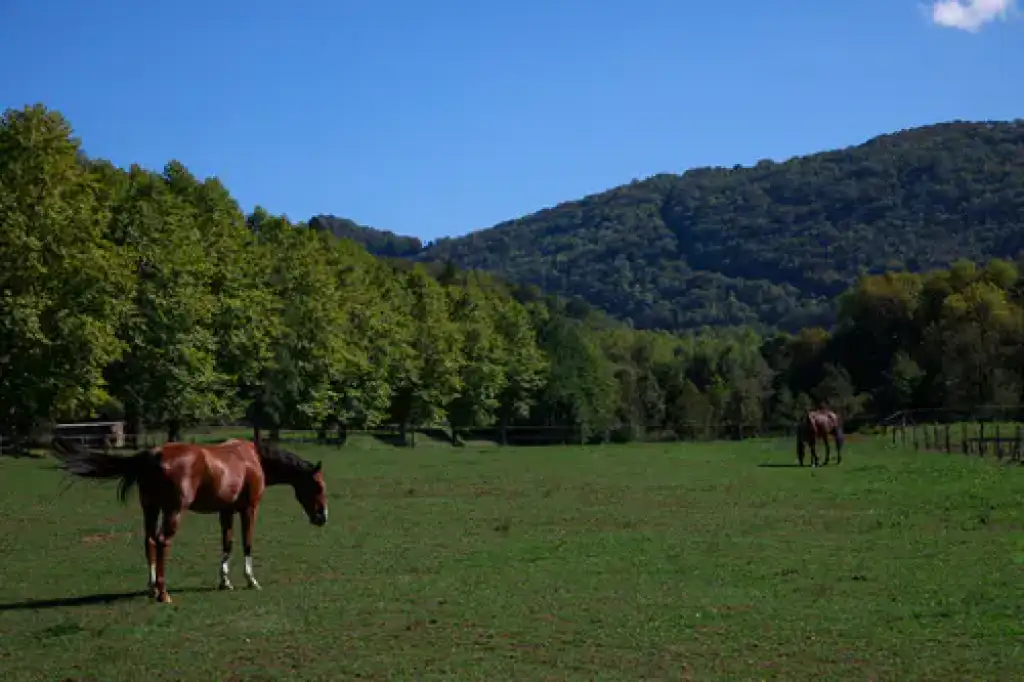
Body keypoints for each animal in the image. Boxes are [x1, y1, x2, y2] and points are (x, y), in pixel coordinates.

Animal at [49, 436, 325, 602]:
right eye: (318, 486)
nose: (322, 517)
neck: (252, 459)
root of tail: (153, 455)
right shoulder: (249, 509)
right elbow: (247, 544)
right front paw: (251, 580)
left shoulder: (226, 511)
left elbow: (227, 544)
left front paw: (225, 581)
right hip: (173, 512)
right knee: (162, 541)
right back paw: (163, 594)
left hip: (151, 509)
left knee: (150, 541)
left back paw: (152, 588)